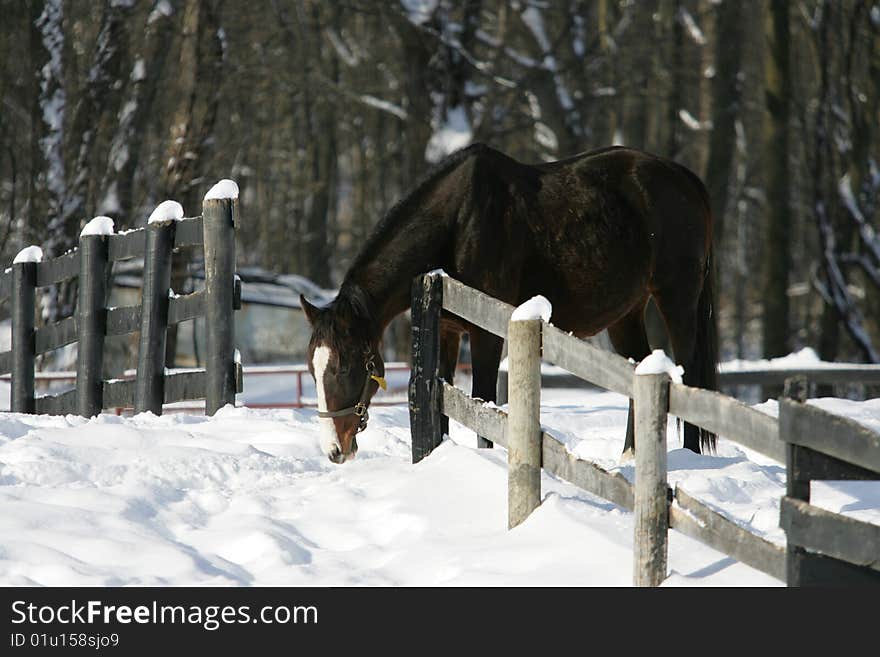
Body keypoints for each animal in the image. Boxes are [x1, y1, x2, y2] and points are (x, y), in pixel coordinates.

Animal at [300, 144, 716, 464]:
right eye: (312, 369)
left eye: (346, 365)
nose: (334, 450)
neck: (456, 223)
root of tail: (683, 177)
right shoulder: (447, 332)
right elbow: (444, 404)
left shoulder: (487, 333)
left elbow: (483, 406)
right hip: (626, 313)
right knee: (640, 370)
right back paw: (630, 456)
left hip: (677, 298)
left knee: (688, 374)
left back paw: (692, 456)